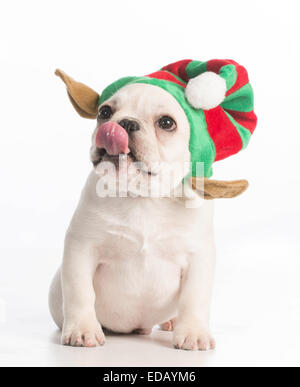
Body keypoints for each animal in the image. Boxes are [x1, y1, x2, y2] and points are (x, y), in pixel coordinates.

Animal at [48, 69, 247, 352]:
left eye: (166, 123)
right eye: (104, 112)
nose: (125, 123)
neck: (143, 196)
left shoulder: (198, 257)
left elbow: (194, 298)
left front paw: (193, 333)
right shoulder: (81, 247)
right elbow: (80, 292)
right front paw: (83, 330)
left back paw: (172, 322)